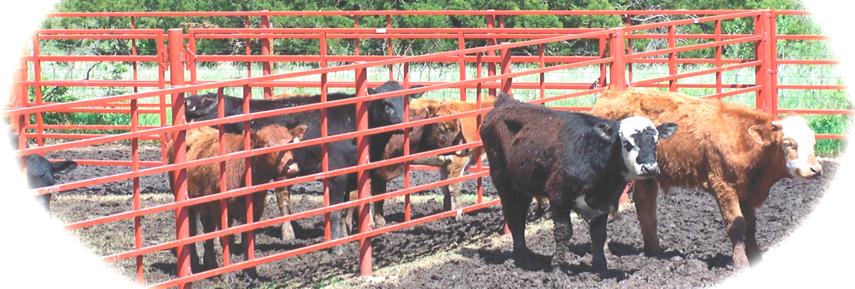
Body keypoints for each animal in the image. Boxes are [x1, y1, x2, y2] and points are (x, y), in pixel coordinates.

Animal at [183, 80, 422, 238]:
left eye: (406, 101)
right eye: (385, 103)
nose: (405, 124)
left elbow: (351, 202)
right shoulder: (336, 173)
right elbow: (338, 206)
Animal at [482, 93, 676, 270]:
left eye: (655, 142)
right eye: (627, 143)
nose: (650, 168)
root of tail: (505, 102)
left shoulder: (603, 202)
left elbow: (598, 234)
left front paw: (600, 266)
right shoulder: (559, 196)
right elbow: (563, 232)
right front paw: (558, 265)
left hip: (522, 186)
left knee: (520, 217)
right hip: (504, 183)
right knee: (514, 218)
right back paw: (522, 257)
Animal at [592, 88, 824, 268]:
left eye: (813, 142)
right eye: (788, 143)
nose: (815, 169)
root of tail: (608, 95)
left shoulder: (746, 190)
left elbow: (751, 226)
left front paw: (757, 258)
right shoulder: (723, 185)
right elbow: (737, 224)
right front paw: (741, 263)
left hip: (646, 176)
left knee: (646, 207)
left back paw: (655, 251)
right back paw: (605, 254)